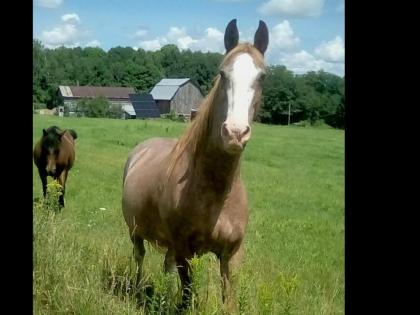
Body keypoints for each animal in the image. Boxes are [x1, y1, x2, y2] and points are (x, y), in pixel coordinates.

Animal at [121, 20, 270, 314]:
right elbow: (187, 294)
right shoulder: (183, 250)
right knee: (139, 257)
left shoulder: (231, 256)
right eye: (223, 73)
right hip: (135, 232)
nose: (235, 133)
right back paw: (138, 290)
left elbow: (228, 299)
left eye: (261, 77)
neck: (217, 191)